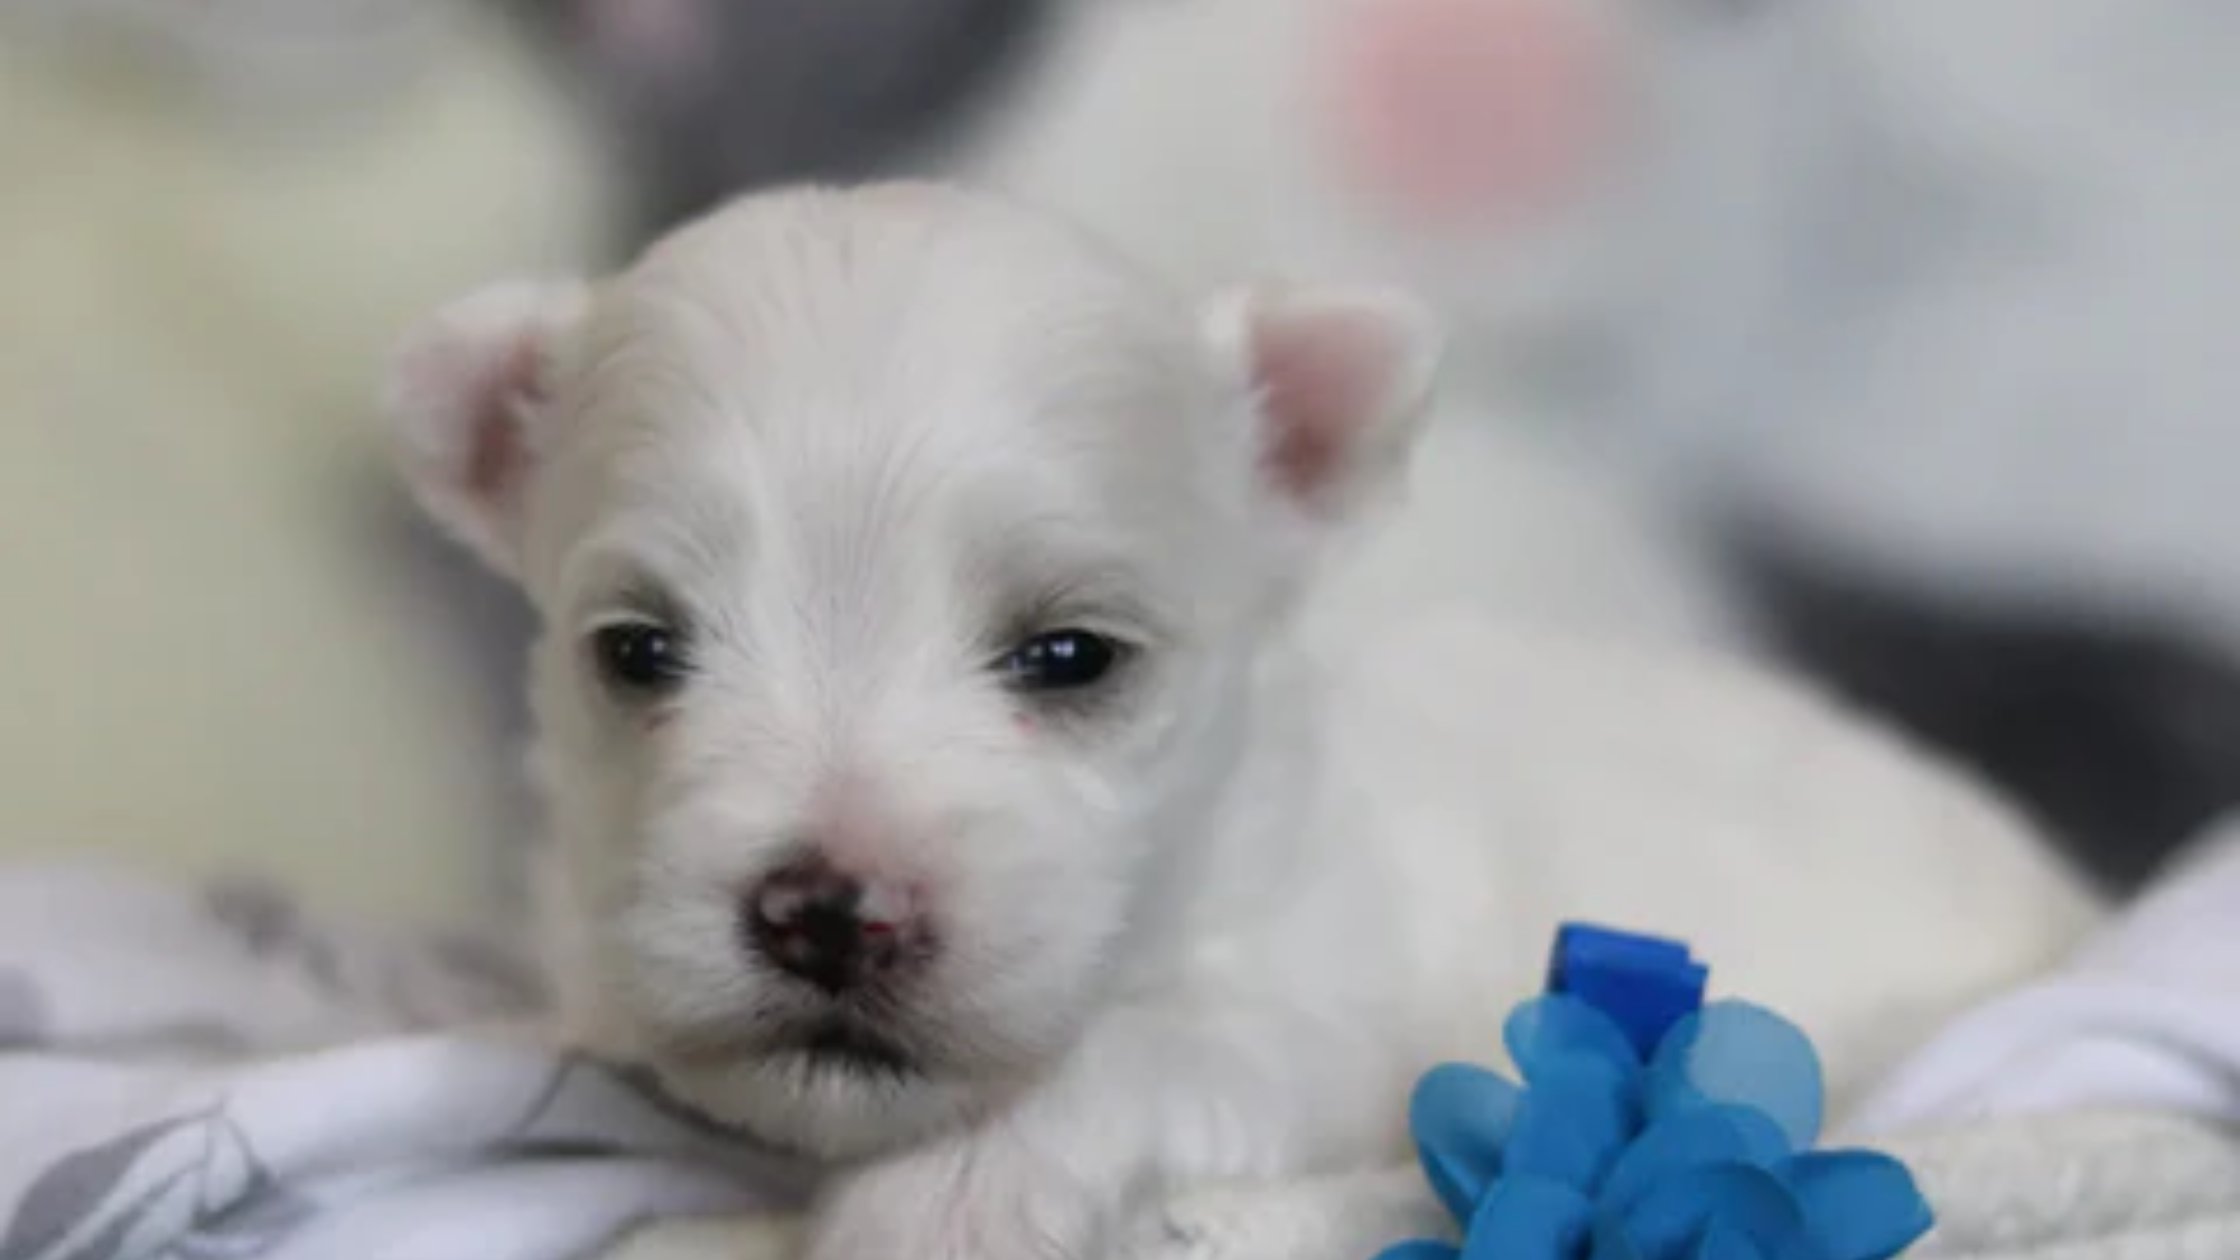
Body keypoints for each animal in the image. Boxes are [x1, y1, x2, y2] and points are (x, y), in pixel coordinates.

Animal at [389, 183, 2096, 1255]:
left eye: (1071, 656)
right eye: (637, 653)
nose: (827, 911)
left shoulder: (1328, 1032)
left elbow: (1149, 1049)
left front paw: (944, 1200)